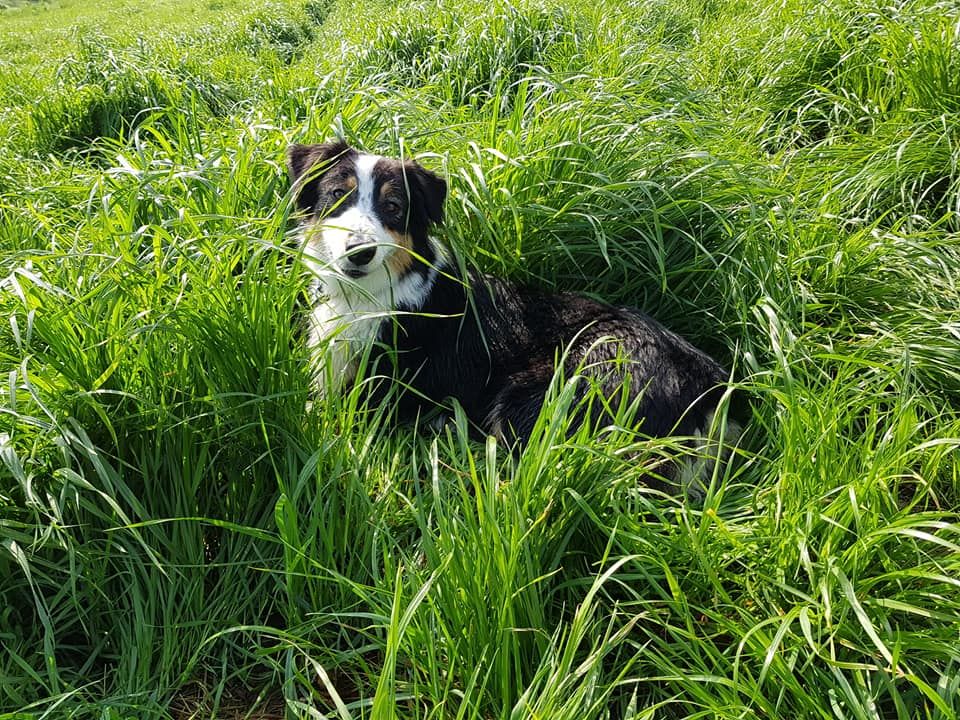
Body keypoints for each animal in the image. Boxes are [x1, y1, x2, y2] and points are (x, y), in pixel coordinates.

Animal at [288, 140, 740, 486]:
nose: (359, 251)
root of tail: (712, 385)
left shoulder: (373, 396)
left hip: (538, 394)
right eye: (337, 195)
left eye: (395, 206)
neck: (368, 296)